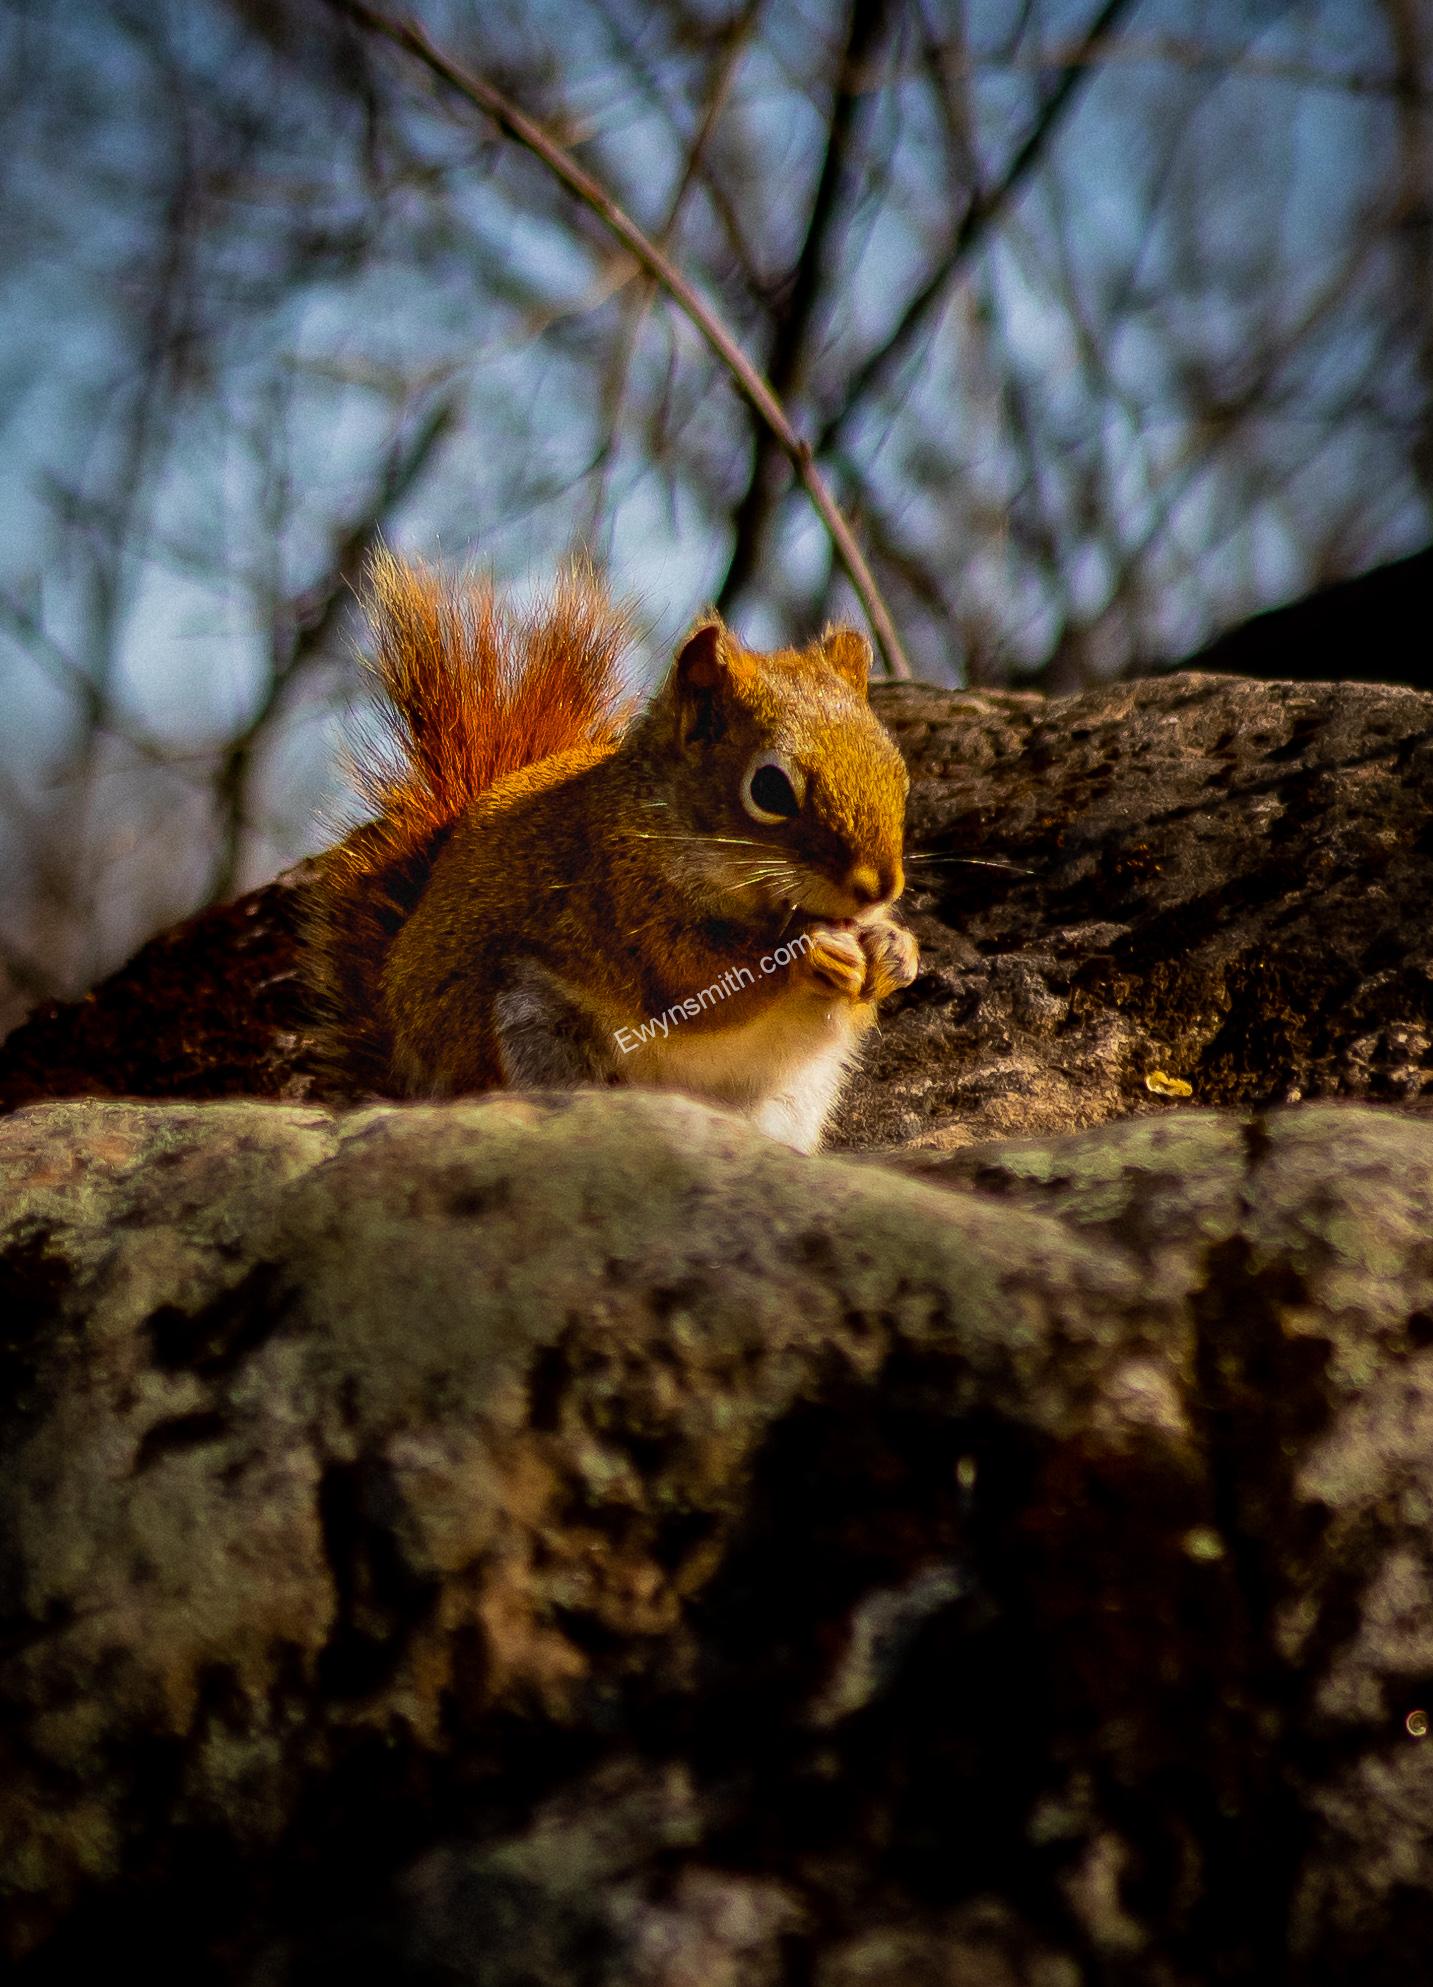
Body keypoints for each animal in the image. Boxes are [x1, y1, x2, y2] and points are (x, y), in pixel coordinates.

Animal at [304, 552, 918, 1160]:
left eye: (899, 771)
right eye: (769, 790)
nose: (879, 888)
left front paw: (893, 950)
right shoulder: (618, 902)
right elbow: (695, 980)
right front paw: (811, 951)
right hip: (528, 1034)